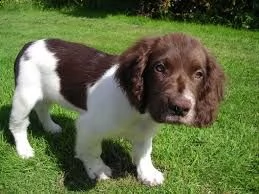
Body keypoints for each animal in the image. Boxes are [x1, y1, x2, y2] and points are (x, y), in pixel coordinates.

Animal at [9, 33, 225, 185]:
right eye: (159, 68)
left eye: (199, 74)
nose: (180, 108)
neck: (140, 110)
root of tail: (30, 44)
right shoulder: (88, 125)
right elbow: (92, 150)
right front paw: (97, 170)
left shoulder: (146, 130)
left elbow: (144, 151)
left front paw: (148, 173)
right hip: (24, 94)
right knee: (18, 124)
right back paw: (24, 149)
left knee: (43, 108)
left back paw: (51, 127)